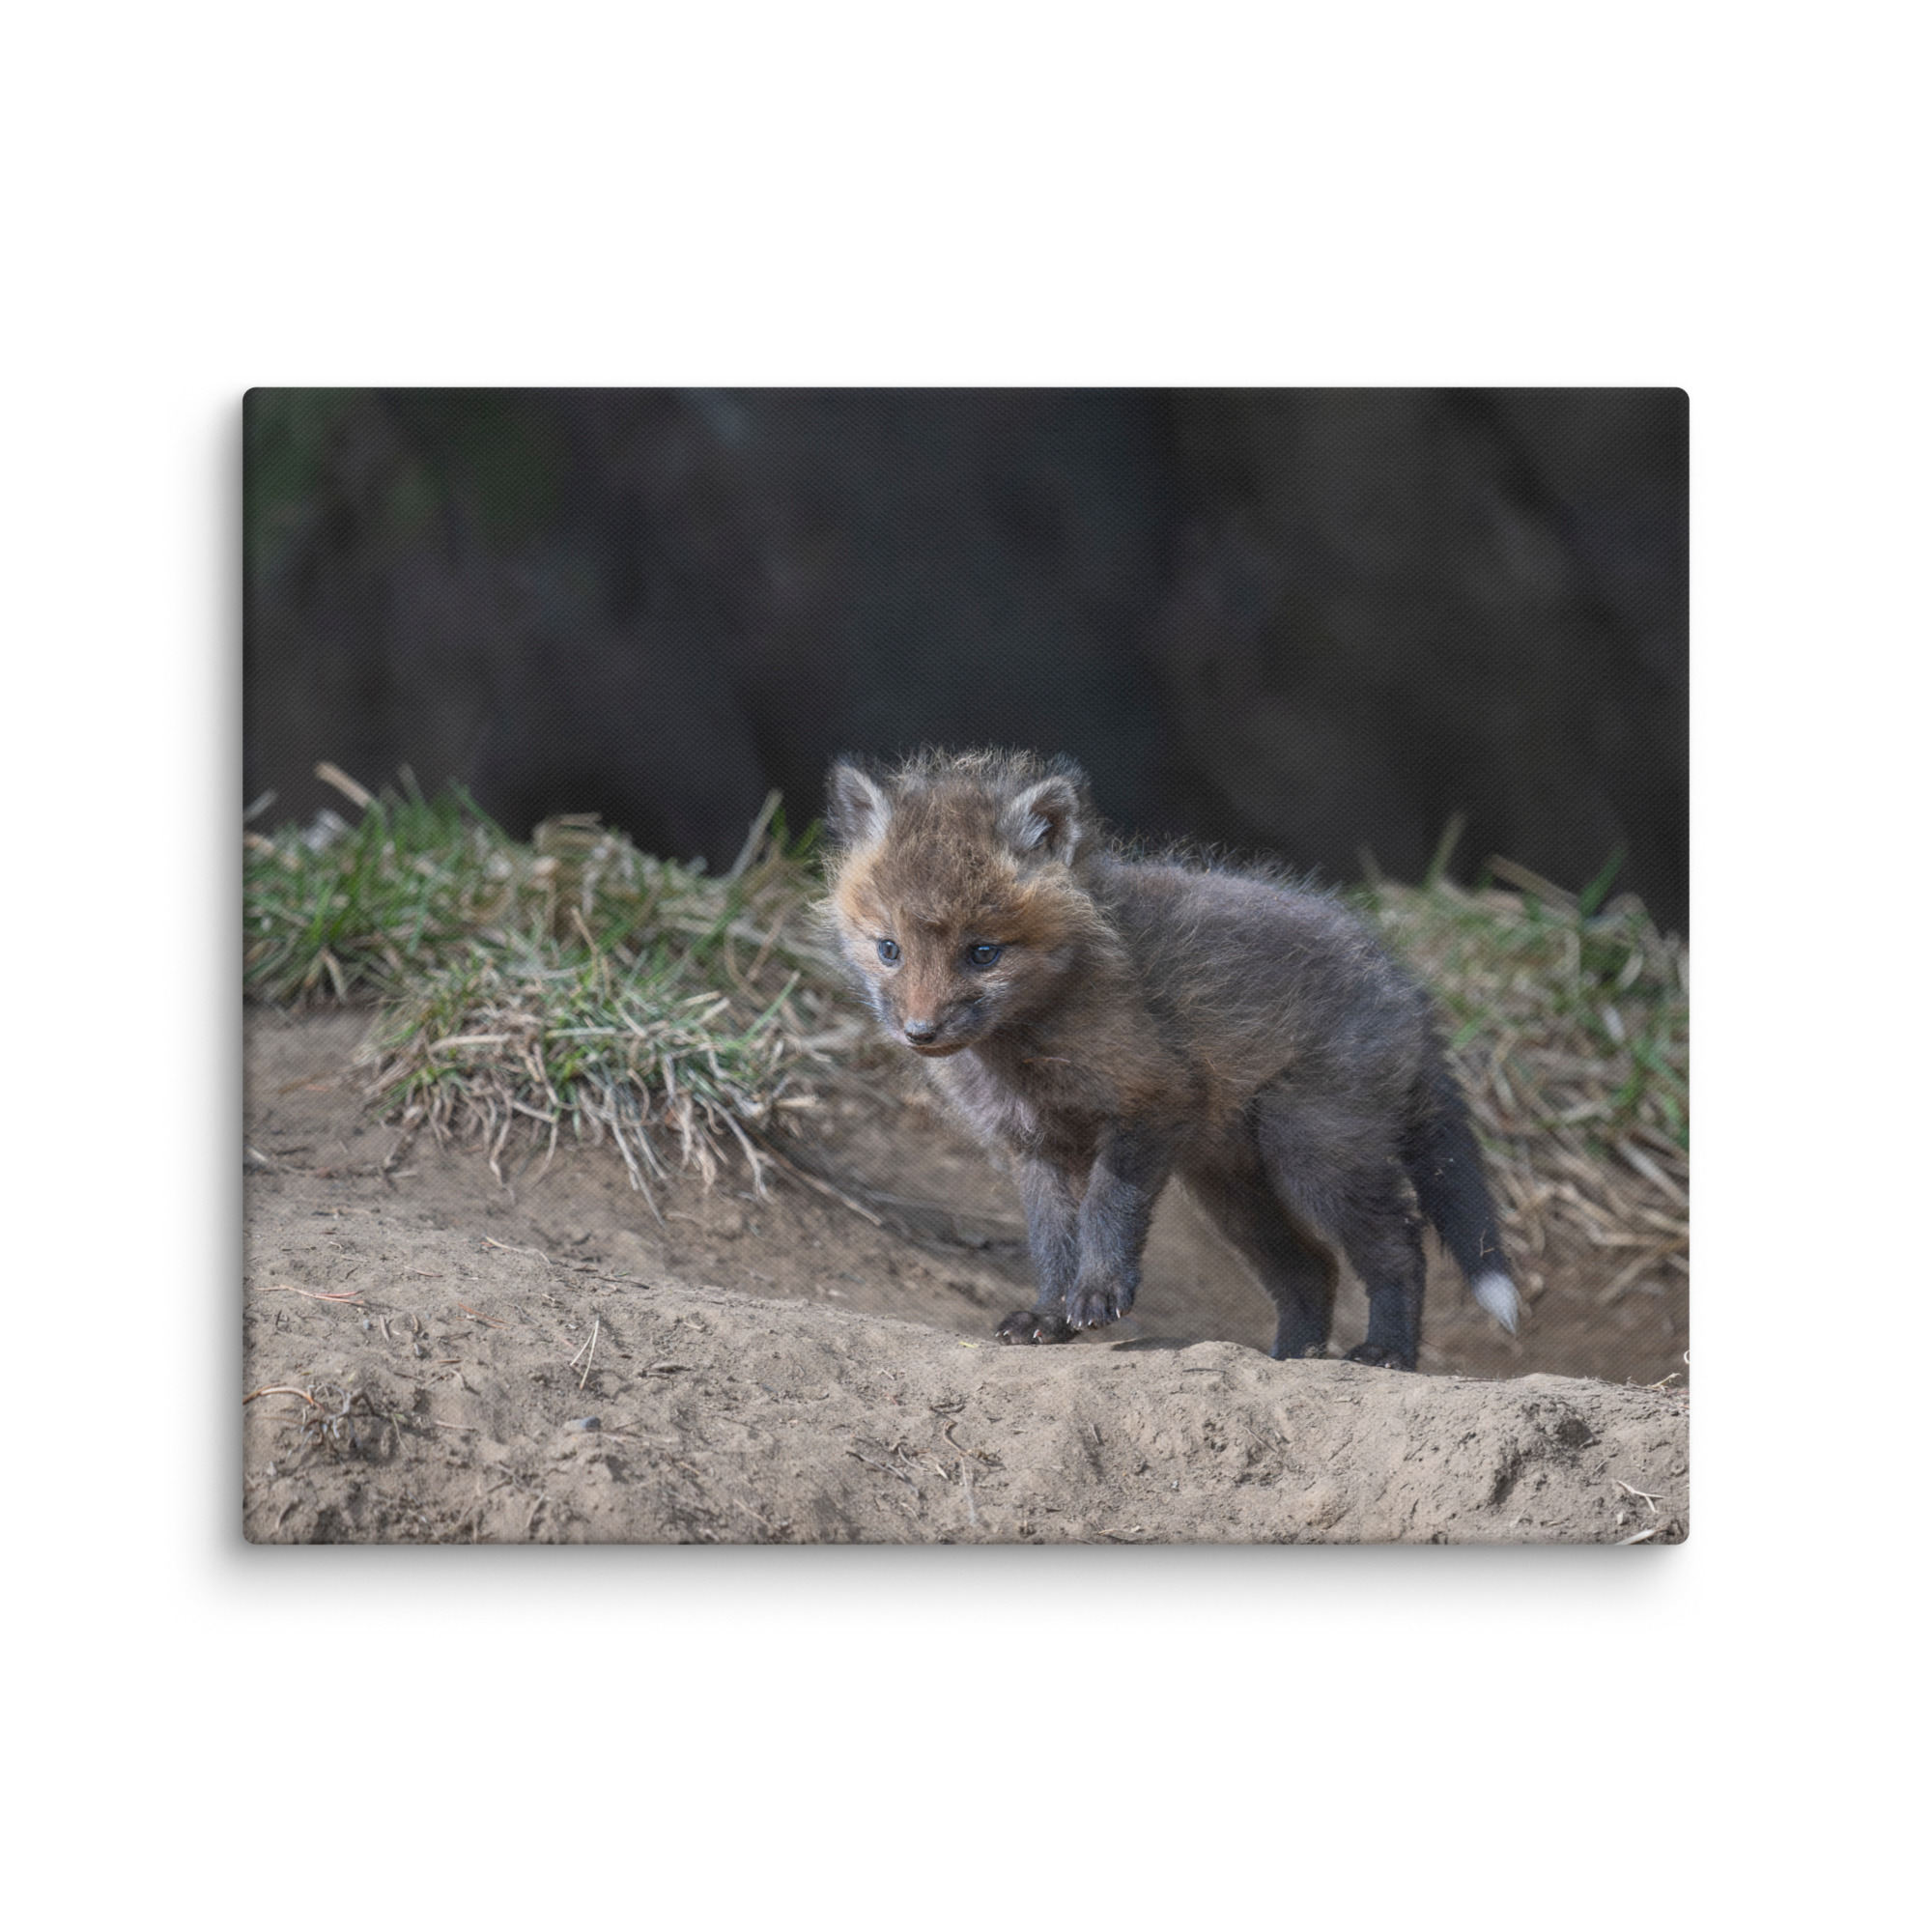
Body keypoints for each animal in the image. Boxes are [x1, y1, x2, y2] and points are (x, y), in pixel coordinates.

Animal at [821, 747, 1521, 1370]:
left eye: (983, 953)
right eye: (889, 949)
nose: (920, 1032)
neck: (1025, 1053)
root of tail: (1406, 985)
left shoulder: (1152, 1100)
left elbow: (1107, 1208)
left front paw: (1099, 1293)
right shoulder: (1034, 1146)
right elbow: (1051, 1241)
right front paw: (1048, 1315)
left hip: (1314, 1154)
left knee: (1399, 1246)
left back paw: (1387, 1352)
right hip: (1231, 1189)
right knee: (1312, 1269)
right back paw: (1291, 1358)